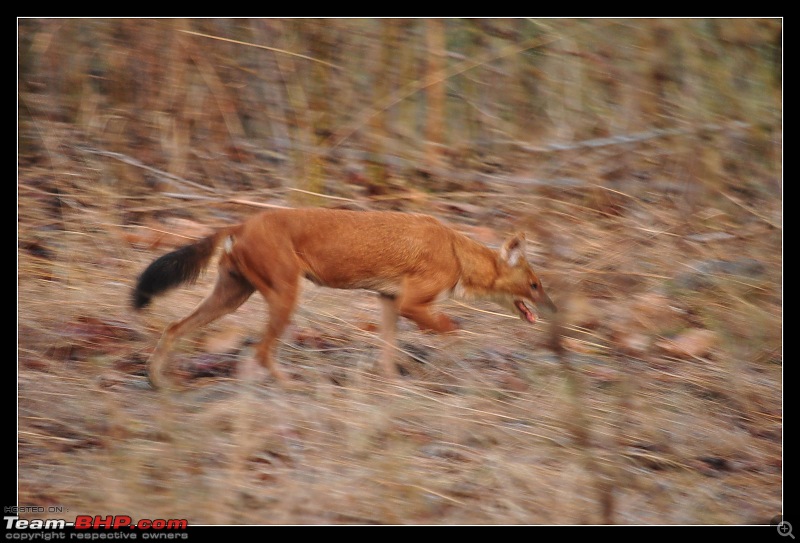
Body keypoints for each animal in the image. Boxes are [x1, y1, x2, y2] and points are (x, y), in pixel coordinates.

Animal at [131, 206, 556, 388]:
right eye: (535, 284)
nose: (551, 308)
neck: (457, 251)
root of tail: (241, 222)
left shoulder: (388, 300)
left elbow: (388, 347)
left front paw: (391, 380)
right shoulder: (410, 303)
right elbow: (451, 327)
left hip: (233, 294)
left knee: (174, 328)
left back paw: (158, 380)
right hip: (285, 294)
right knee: (262, 350)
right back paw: (290, 385)